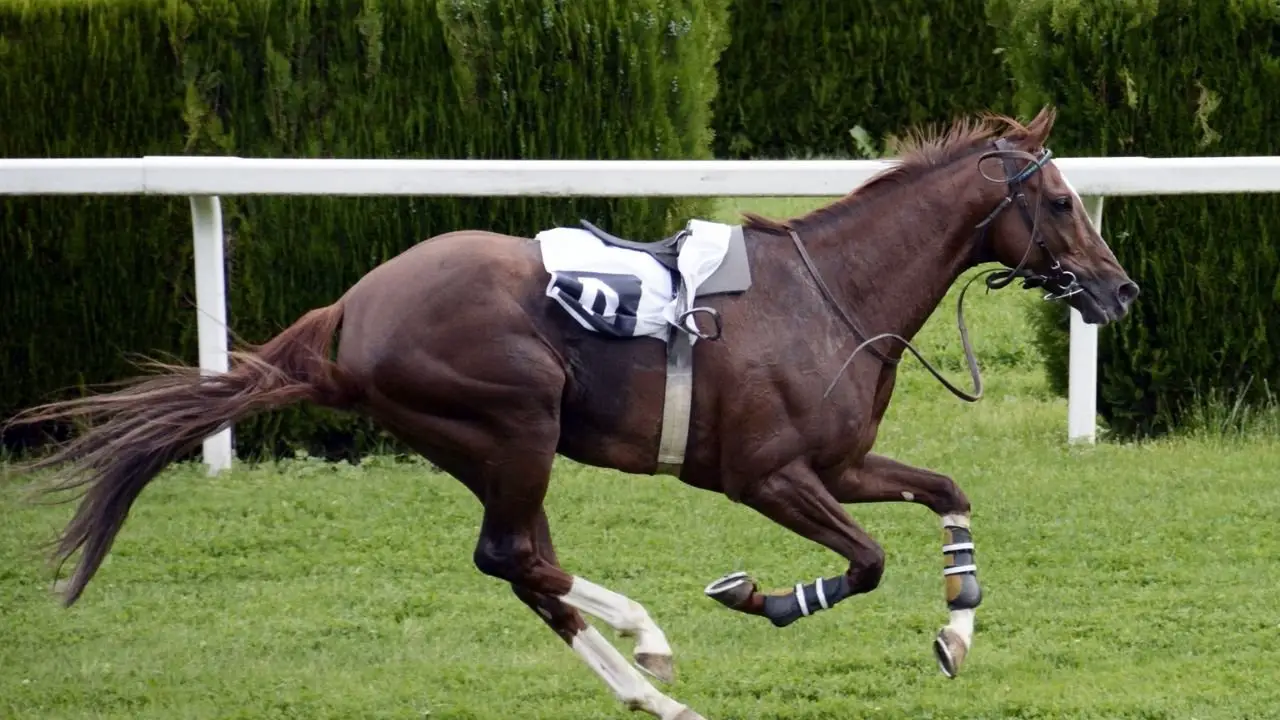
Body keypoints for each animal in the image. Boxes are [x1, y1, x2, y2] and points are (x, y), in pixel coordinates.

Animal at [5, 107, 1136, 717]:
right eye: (1062, 203)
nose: (1118, 290)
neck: (832, 295)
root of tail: (352, 312)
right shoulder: (765, 475)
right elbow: (863, 562)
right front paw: (758, 597)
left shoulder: (841, 462)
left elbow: (946, 493)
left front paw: (956, 635)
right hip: (514, 424)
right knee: (515, 556)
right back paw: (651, 641)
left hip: (495, 445)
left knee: (524, 568)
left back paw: (650, 687)